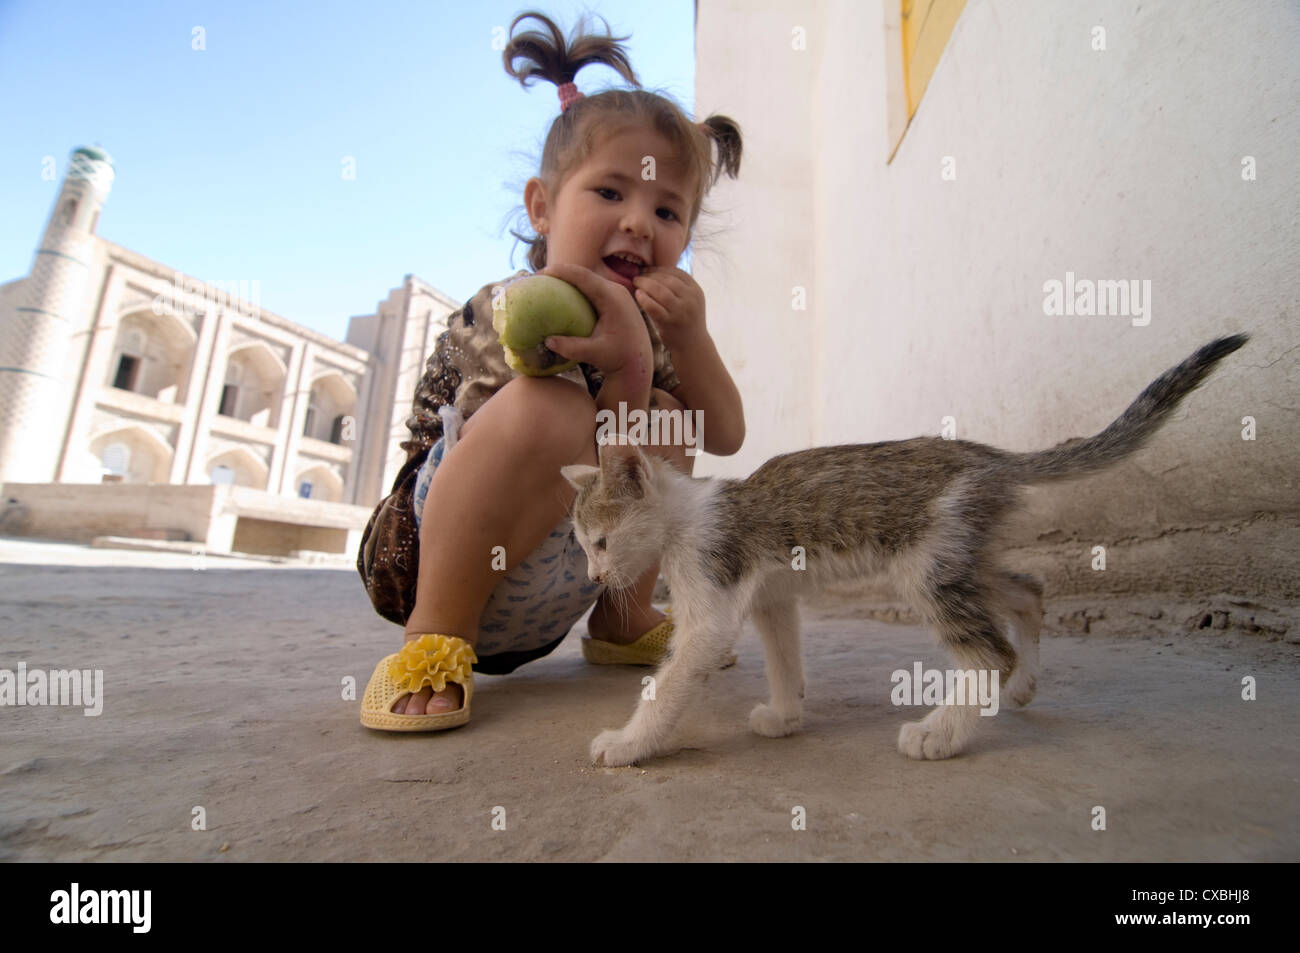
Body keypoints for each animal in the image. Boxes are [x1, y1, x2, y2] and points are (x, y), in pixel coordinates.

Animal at [559, 335, 1248, 764]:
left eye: (600, 541)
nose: (593, 574)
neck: (684, 518)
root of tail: (988, 455)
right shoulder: (772, 597)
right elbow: (785, 657)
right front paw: (785, 715)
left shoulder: (712, 597)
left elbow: (675, 678)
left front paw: (628, 743)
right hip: (960, 558)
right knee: (1027, 588)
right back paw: (1025, 682)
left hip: (928, 568)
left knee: (989, 653)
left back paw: (942, 732)